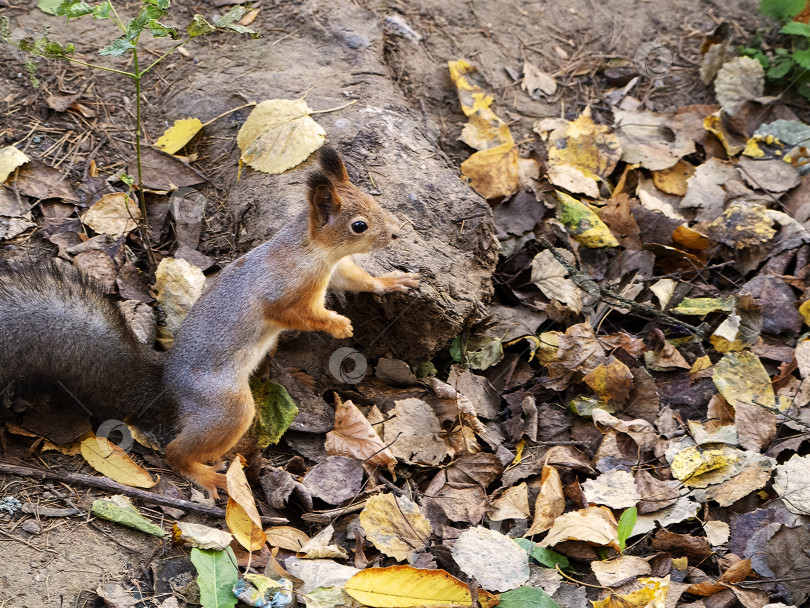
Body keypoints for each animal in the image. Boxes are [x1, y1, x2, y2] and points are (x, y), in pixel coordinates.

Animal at [0, 147, 416, 498]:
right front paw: (338, 325)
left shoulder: (336, 270)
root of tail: (168, 386)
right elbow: (296, 314)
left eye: (375, 201)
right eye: (359, 225)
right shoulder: (285, 293)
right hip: (226, 407)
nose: (397, 233)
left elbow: (357, 279)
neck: (314, 251)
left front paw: (392, 282)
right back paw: (207, 475)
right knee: (175, 452)